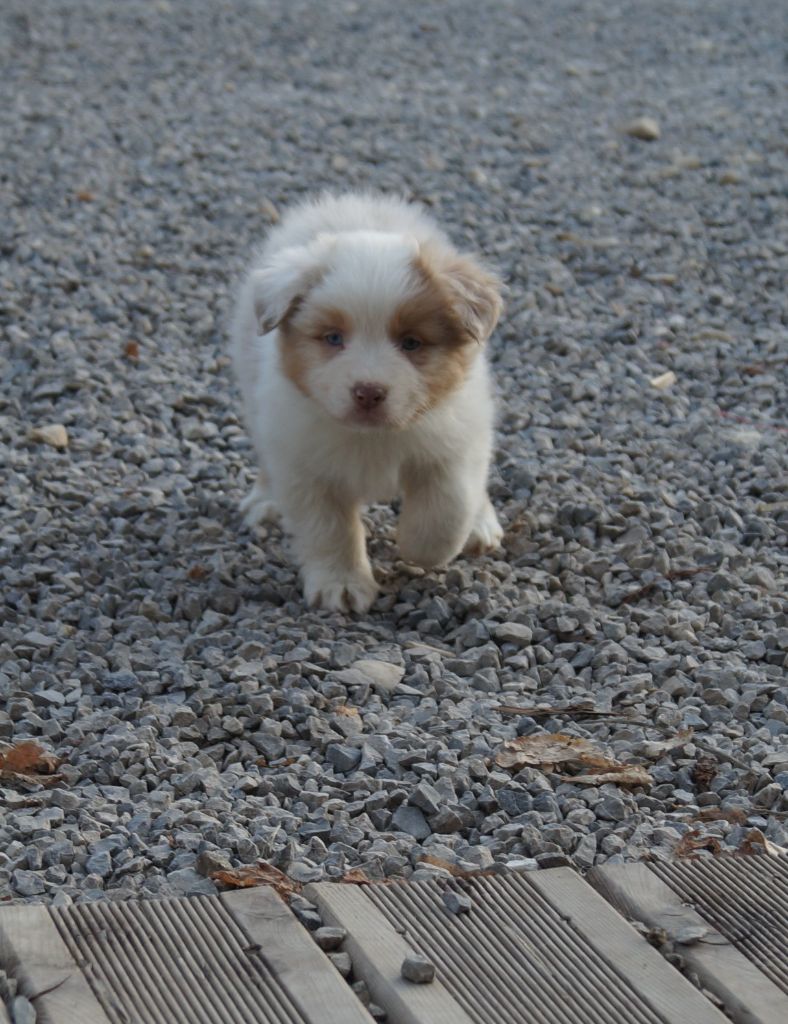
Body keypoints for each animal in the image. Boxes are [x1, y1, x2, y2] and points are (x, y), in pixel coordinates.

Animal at [230, 191, 503, 606]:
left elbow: (447, 510)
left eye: (411, 343)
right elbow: (329, 530)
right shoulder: (303, 463)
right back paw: (265, 501)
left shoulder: (454, 441)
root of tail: (348, 203)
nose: (368, 392)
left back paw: (481, 525)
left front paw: (417, 547)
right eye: (333, 338)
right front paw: (341, 586)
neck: (374, 438)